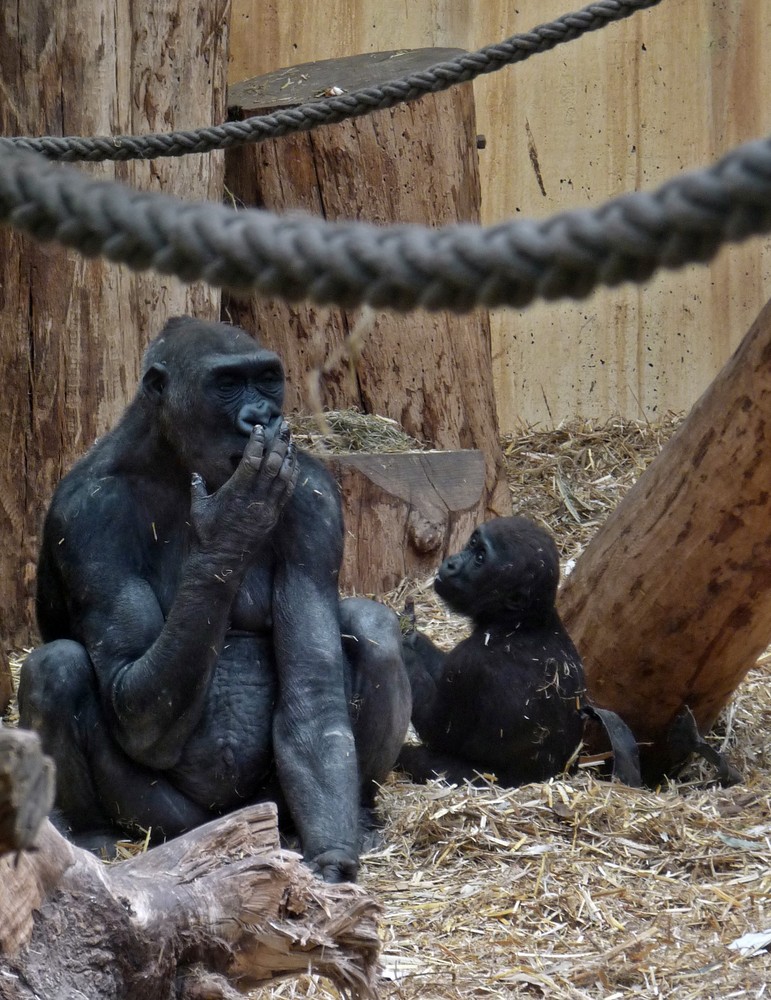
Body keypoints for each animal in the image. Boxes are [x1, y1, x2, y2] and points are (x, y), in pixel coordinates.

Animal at [18, 314, 414, 884]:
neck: (167, 455)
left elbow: (313, 689)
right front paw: (235, 522)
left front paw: (332, 866)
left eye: (268, 380)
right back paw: (92, 834)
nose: (263, 414)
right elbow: (131, 701)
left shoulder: (314, 498)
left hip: (273, 806)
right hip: (170, 822)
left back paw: (358, 811)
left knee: (372, 630)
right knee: (56, 667)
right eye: (227, 384)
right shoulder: (88, 516)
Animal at [398, 516, 584, 788]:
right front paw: (411, 635)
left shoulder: (468, 663)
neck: (519, 623)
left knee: (421, 762)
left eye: (480, 558)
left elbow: (437, 730)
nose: (451, 563)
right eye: (472, 543)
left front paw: (404, 649)